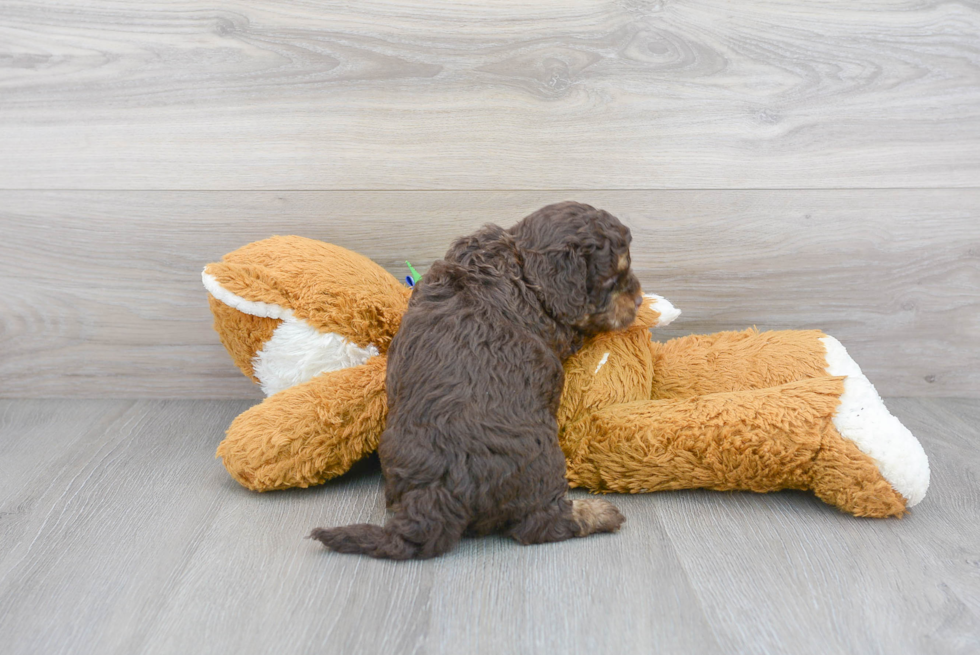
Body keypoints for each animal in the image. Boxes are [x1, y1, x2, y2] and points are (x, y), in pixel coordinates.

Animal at [310, 202, 640, 560]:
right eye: (612, 279)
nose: (638, 299)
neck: (519, 258)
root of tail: (438, 493)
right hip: (543, 466)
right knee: (540, 524)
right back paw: (598, 513)